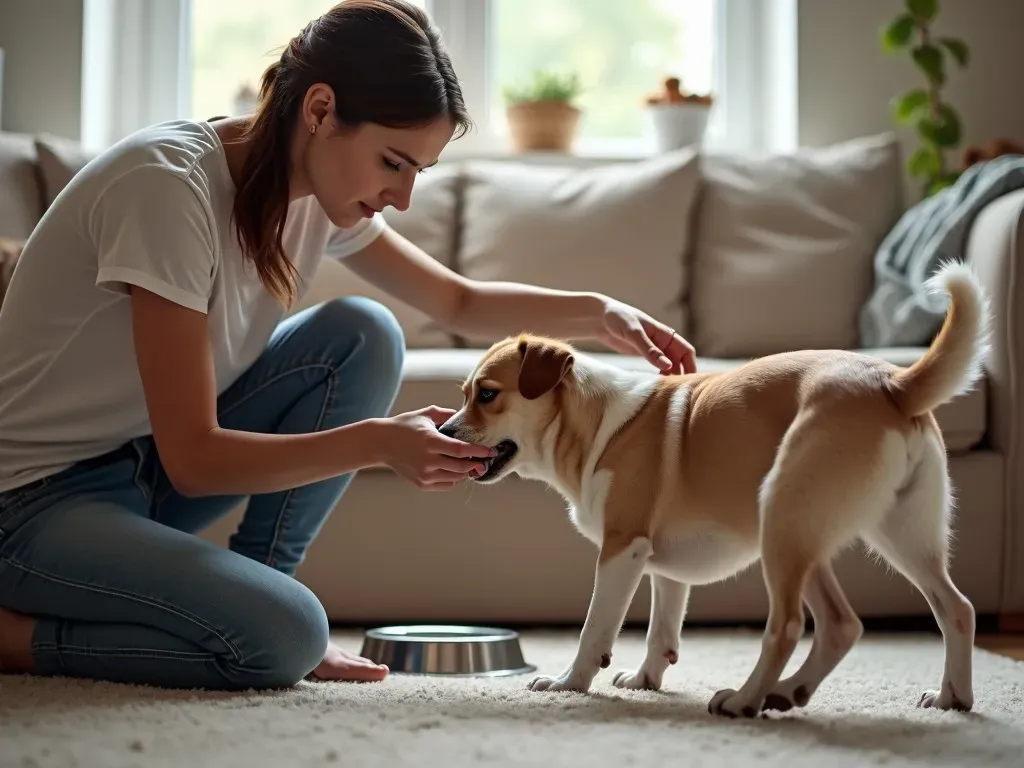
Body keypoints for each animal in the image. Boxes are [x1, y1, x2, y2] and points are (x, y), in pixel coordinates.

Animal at [440, 262, 991, 720]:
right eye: (464, 394)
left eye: (487, 394)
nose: (444, 431)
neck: (595, 424)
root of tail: (892, 383)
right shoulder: (660, 563)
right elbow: (663, 626)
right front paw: (645, 680)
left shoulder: (622, 549)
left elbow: (595, 627)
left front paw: (568, 683)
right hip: (893, 535)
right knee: (938, 612)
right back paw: (940, 698)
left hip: (784, 523)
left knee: (796, 626)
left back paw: (747, 700)